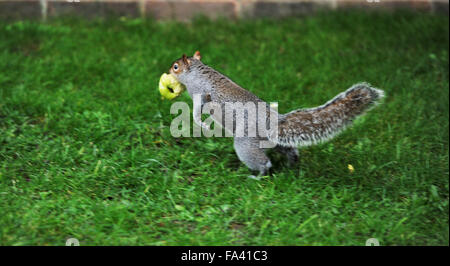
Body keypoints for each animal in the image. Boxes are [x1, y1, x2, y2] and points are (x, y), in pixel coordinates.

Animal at [168, 51, 384, 177]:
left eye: (176, 66)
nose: (168, 72)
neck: (197, 72)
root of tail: (273, 123)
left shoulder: (200, 92)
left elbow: (198, 110)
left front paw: (201, 123)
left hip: (246, 143)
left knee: (264, 162)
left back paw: (257, 175)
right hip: (276, 142)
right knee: (289, 150)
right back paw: (292, 165)